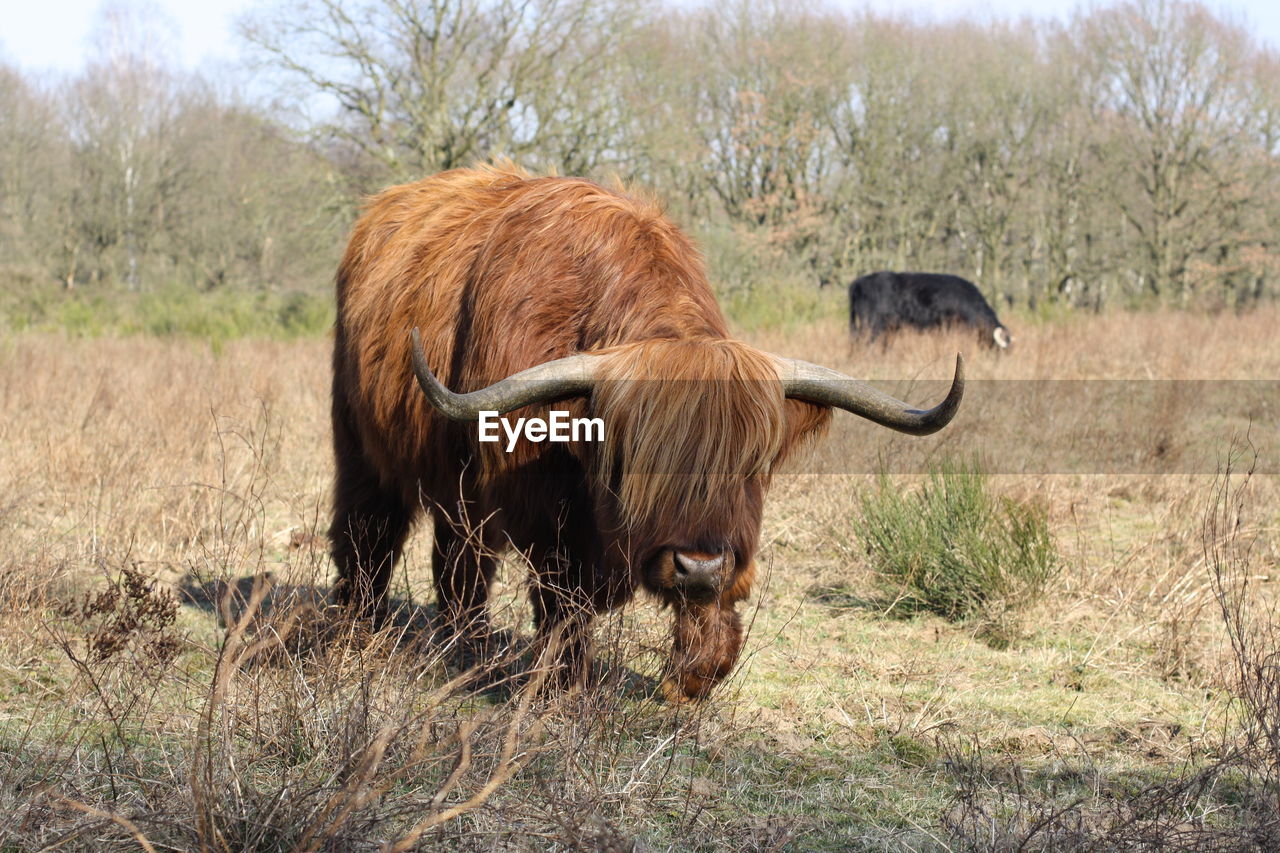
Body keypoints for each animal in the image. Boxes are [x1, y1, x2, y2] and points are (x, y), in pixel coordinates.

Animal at [330, 163, 962, 696]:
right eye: (641, 458)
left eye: (751, 465)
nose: (699, 564)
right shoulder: (541, 508)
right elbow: (562, 597)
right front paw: (564, 685)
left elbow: (712, 600)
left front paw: (697, 674)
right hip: (360, 447)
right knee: (371, 538)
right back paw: (368, 636)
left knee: (455, 557)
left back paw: (465, 645)